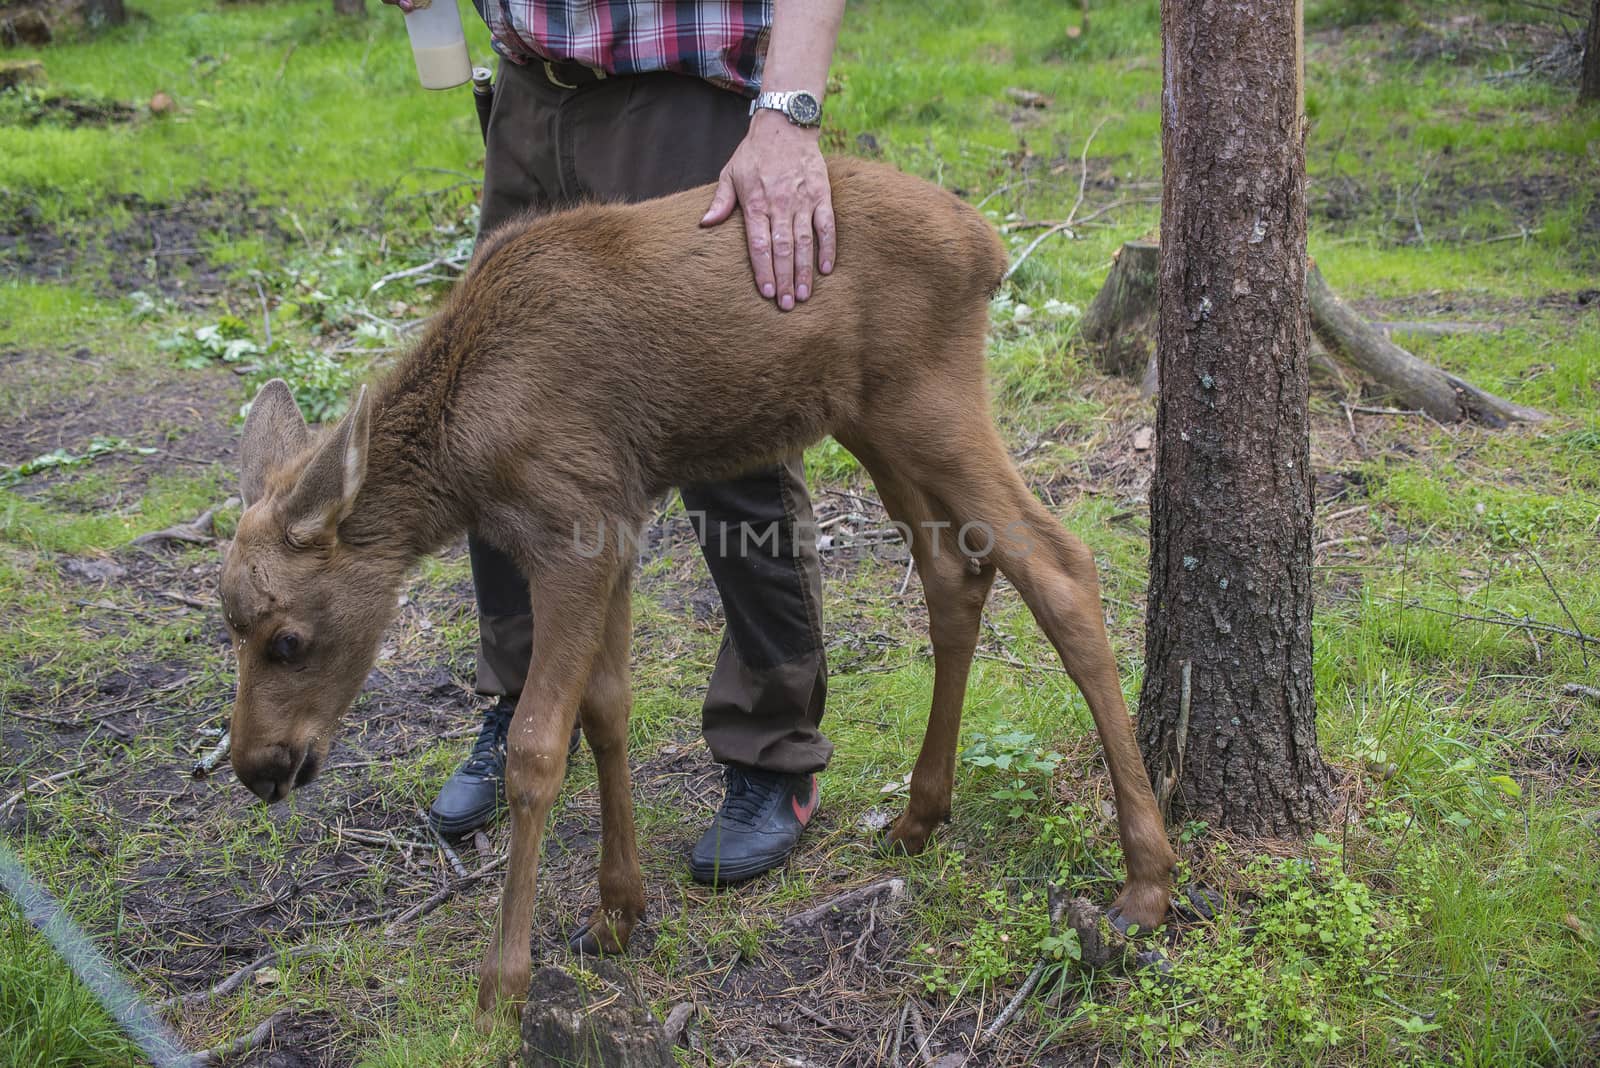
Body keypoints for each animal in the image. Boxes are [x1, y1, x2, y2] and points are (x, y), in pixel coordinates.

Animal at [222, 158, 1177, 1023]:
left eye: (287, 639)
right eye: (229, 628)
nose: (258, 768)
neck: (466, 458)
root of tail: (990, 247)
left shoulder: (570, 530)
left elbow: (537, 747)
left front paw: (503, 982)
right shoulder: (613, 526)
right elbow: (607, 710)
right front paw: (618, 910)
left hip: (929, 399)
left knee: (1061, 567)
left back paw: (1147, 880)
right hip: (870, 417)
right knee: (956, 572)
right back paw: (919, 814)